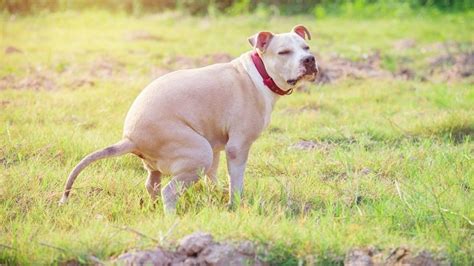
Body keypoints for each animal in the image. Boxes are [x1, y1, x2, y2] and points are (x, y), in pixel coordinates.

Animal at [59, 24, 318, 212]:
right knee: (169, 192)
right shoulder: (237, 147)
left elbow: (213, 175)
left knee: (152, 185)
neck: (260, 74)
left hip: (169, 161)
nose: (310, 60)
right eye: (284, 52)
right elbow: (236, 180)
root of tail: (129, 138)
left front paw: (217, 193)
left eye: (306, 48)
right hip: (198, 152)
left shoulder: (217, 145)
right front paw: (234, 204)